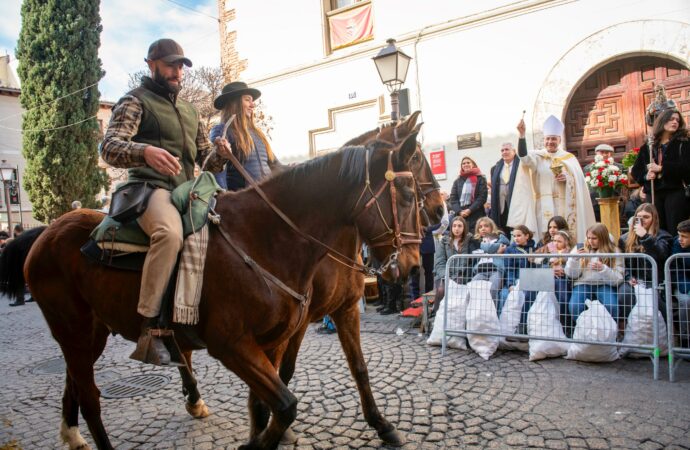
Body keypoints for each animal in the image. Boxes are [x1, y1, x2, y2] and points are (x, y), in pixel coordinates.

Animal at [1, 134, 420, 450]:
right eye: (407, 192)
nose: (414, 263)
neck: (266, 238)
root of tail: (45, 232)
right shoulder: (231, 344)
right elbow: (285, 405)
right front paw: (255, 444)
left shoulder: (276, 339)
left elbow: (269, 403)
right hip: (71, 330)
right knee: (90, 398)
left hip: (91, 333)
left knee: (74, 381)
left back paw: (72, 435)